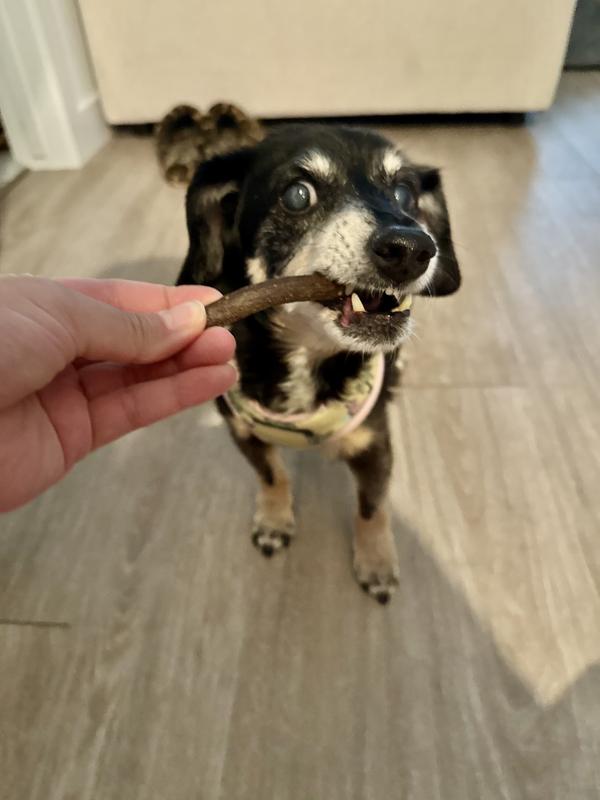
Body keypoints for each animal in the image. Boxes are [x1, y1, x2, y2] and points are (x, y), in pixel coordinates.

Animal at [177, 124, 460, 603]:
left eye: (405, 193)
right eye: (297, 195)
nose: (411, 248)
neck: (306, 356)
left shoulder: (374, 445)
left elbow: (373, 508)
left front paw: (376, 562)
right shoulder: (243, 433)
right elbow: (272, 475)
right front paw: (274, 520)